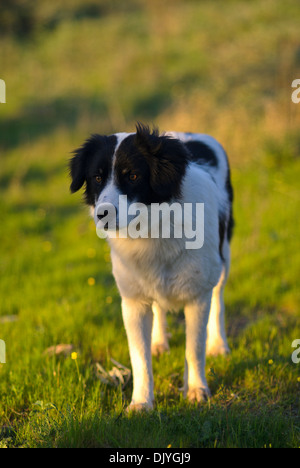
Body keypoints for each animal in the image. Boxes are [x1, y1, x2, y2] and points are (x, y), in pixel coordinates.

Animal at [69, 122, 233, 412]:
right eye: (97, 178)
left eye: (133, 176)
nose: (103, 215)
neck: (152, 230)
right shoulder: (133, 302)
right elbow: (139, 358)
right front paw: (142, 402)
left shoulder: (197, 296)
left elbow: (194, 349)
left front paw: (196, 390)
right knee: (159, 307)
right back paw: (159, 342)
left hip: (223, 257)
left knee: (218, 298)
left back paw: (218, 344)